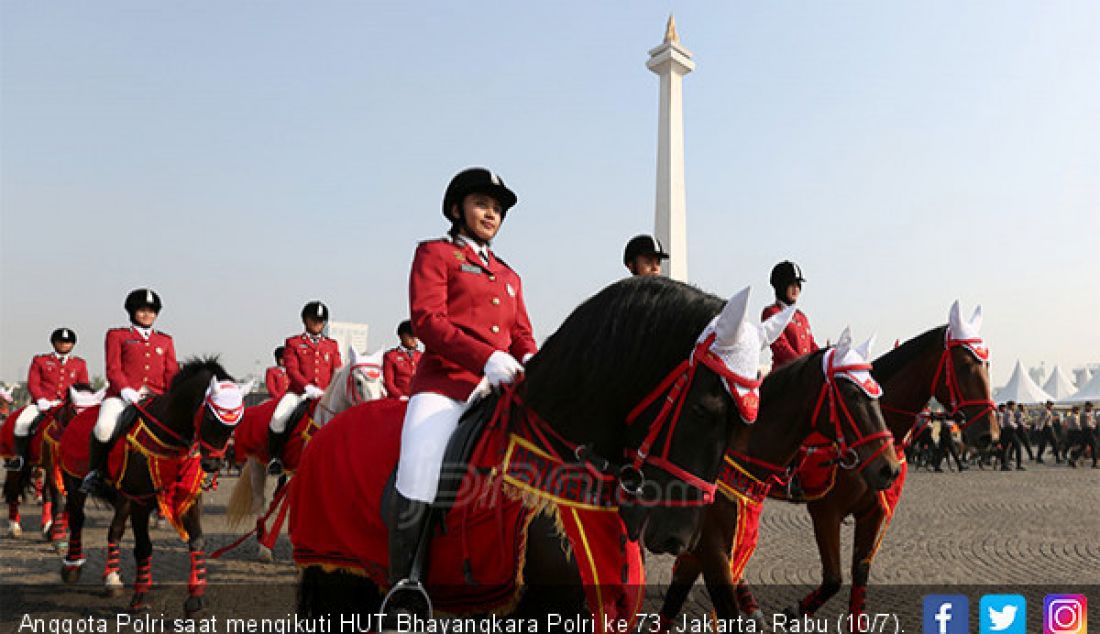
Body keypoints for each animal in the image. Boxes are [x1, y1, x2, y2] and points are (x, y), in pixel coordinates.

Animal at [58, 358, 249, 616]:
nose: (212, 464)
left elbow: (196, 540)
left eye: (235, 422)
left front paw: (195, 598)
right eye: (210, 417)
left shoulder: (187, 498)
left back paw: (112, 579)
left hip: (123, 498)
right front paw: (139, 598)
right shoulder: (140, 500)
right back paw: (72, 566)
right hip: (76, 484)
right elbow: (143, 547)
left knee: (115, 530)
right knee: (78, 519)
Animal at [660, 301, 998, 629]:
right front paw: (793, 611)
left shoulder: (872, 513)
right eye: (964, 365)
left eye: (987, 365)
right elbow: (834, 579)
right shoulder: (825, 512)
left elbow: (859, 575)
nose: (989, 435)